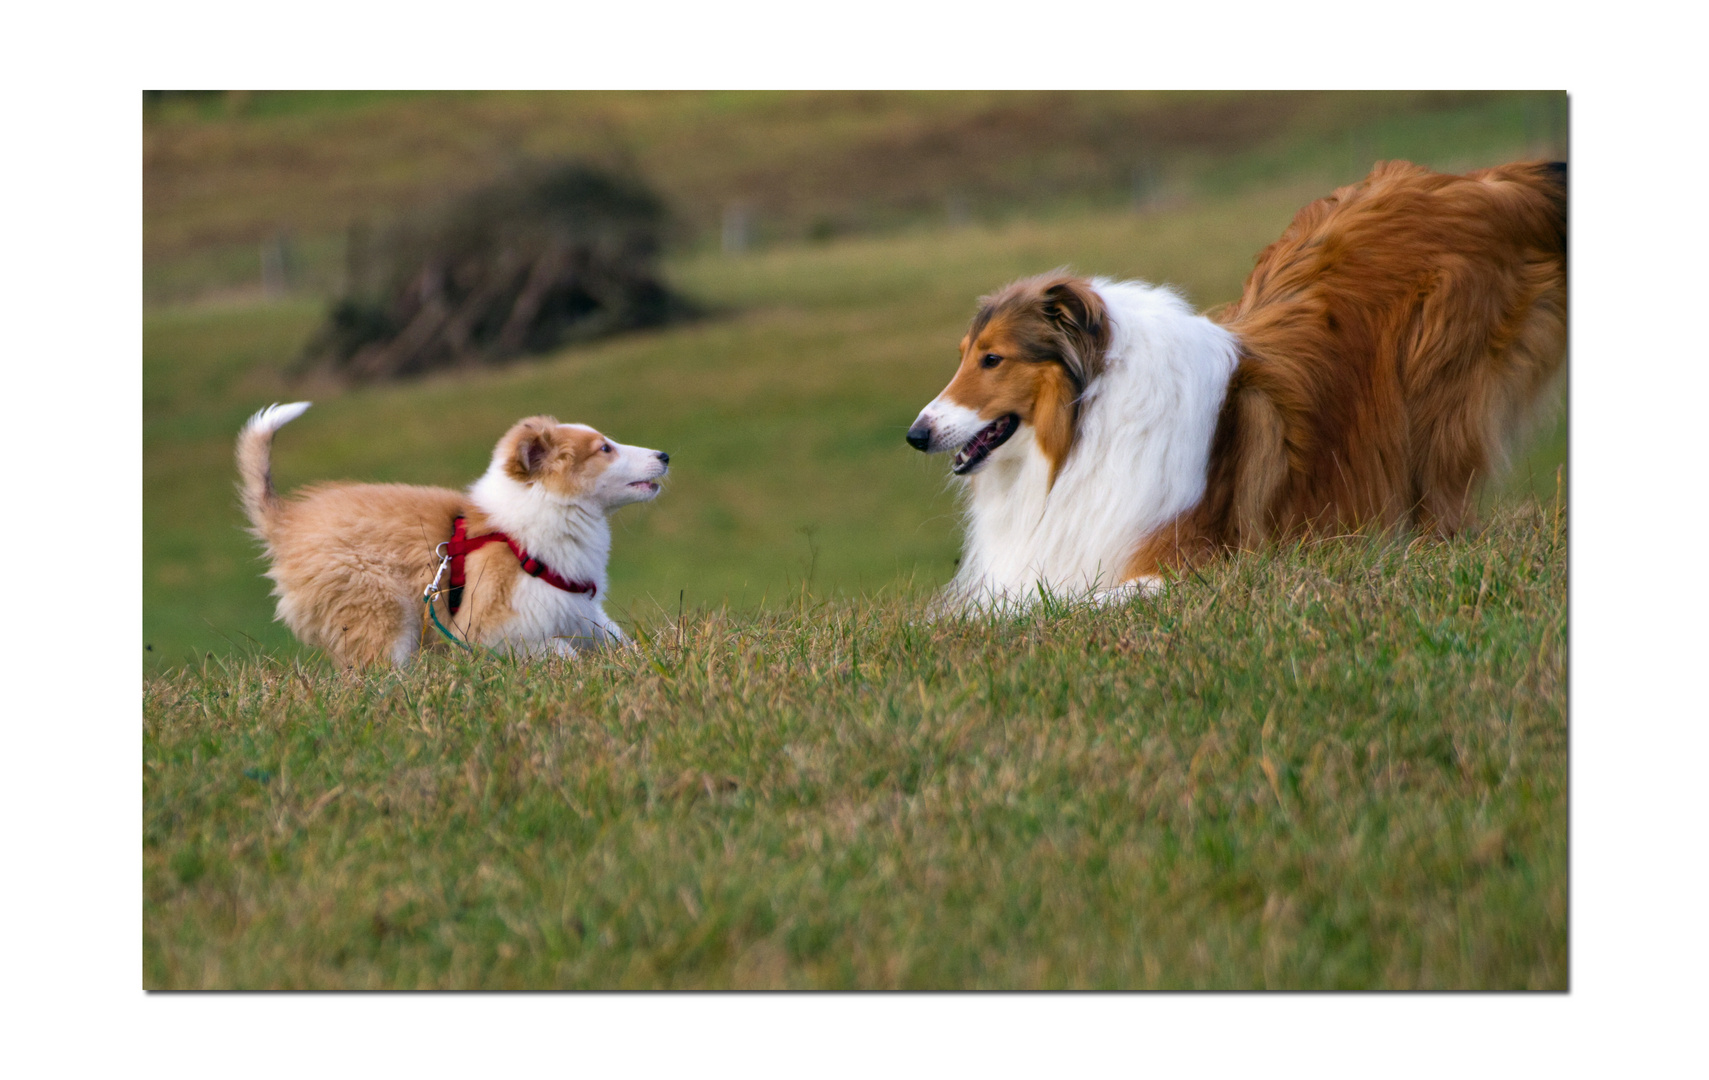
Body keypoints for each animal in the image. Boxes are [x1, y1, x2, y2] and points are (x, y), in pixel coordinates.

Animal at [237, 403, 663, 666]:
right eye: (604, 449)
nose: (665, 456)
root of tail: (288, 521)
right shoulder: (487, 628)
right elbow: (558, 652)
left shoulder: (576, 610)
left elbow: (615, 638)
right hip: (377, 610)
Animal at [909, 158, 1565, 608]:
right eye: (965, 355)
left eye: (993, 359)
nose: (916, 435)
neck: (1080, 433)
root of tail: (1482, 180)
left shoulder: (1184, 566)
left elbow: (1055, 606)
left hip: (1436, 404)